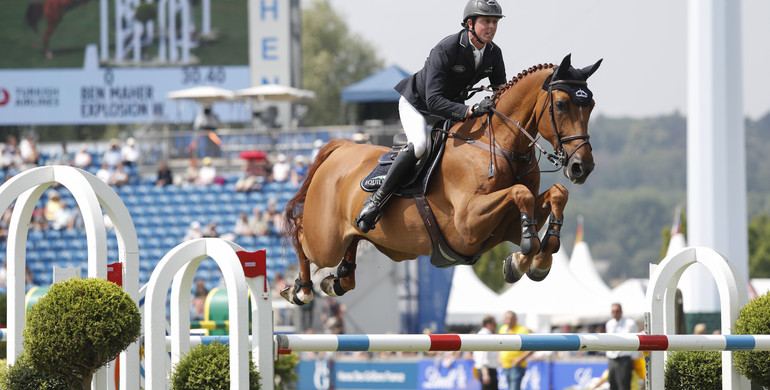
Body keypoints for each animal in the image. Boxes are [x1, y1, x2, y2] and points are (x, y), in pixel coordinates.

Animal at [280, 54, 600, 304]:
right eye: (561, 104)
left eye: (591, 106)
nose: (581, 167)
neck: (500, 145)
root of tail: (342, 147)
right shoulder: (466, 223)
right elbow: (520, 192)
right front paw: (526, 257)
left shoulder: (506, 226)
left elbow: (555, 193)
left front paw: (532, 261)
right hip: (325, 241)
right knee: (302, 235)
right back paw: (300, 289)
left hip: (352, 236)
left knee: (351, 247)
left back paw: (337, 280)